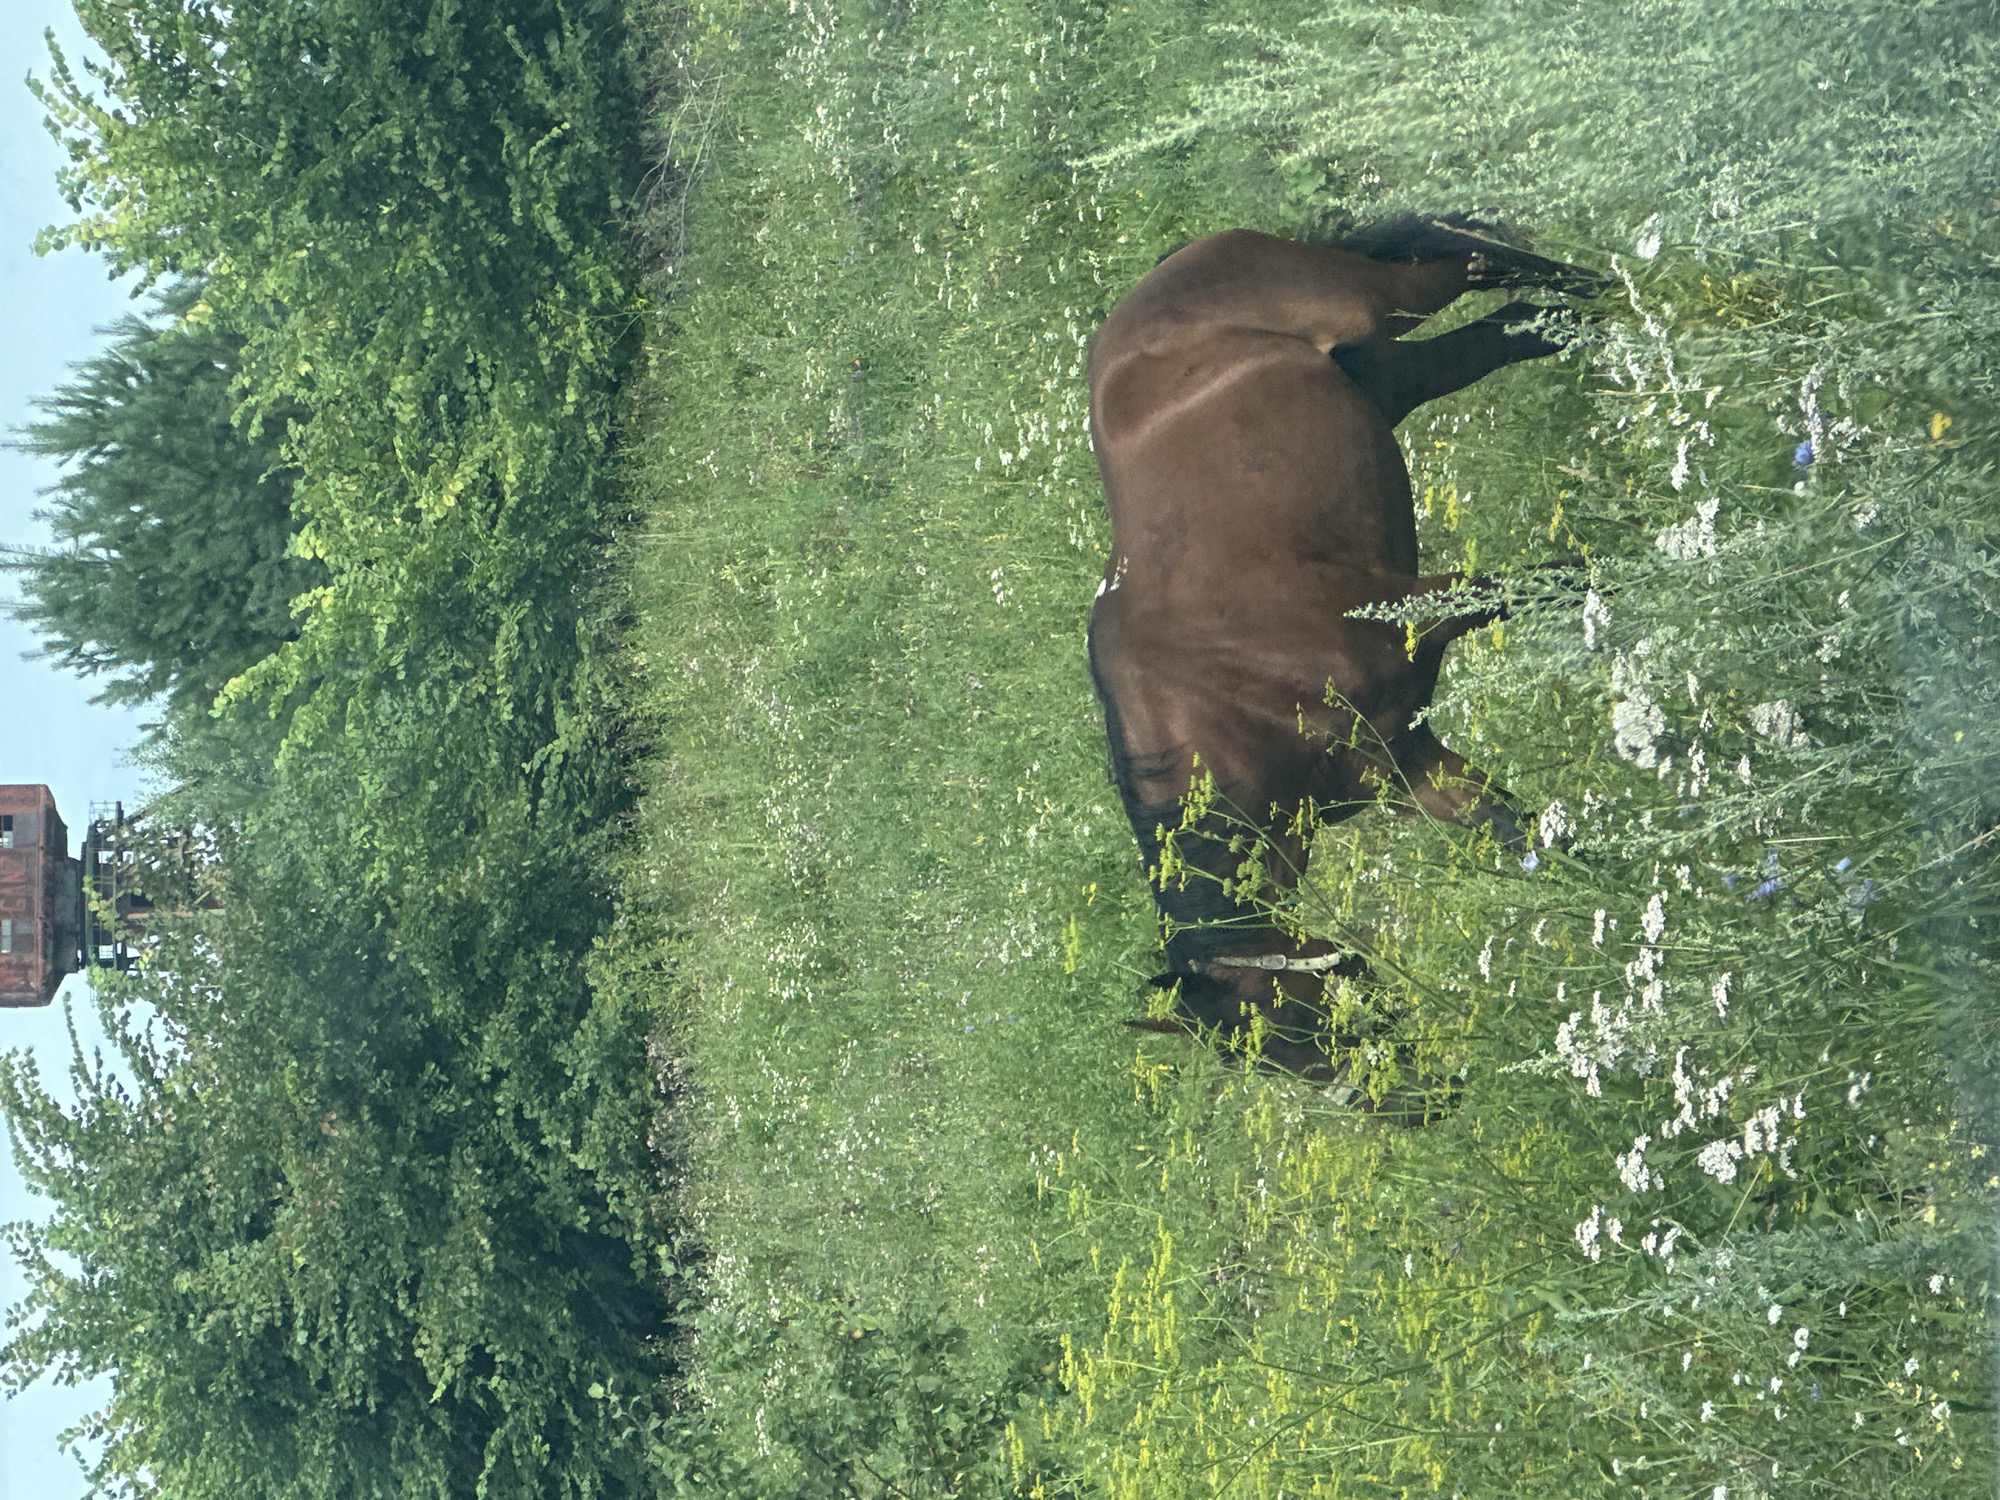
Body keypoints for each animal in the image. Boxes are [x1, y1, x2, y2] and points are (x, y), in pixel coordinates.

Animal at [1085, 216, 1599, 1097]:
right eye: (1269, 1062)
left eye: (1291, 1022)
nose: (1424, 1107)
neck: (1225, 695)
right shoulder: (1413, 767)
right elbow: (1523, 834)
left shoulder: (1434, 610)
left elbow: (1564, 581)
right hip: (1389, 374)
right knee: (1518, 323)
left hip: (1388, 299)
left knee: (1479, 257)